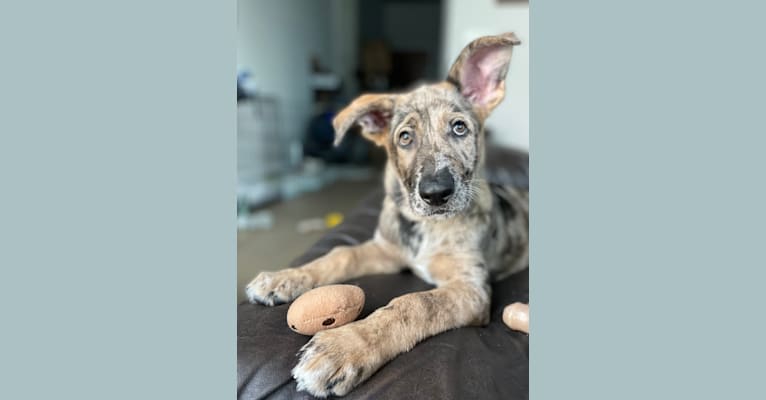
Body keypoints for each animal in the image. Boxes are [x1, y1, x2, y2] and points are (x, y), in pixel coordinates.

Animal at [246, 32, 528, 396]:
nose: (436, 194)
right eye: (405, 137)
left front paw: (343, 348)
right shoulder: (385, 250)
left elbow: (415, 303)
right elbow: (340, 254)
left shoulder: (472, 288)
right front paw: (283, 278)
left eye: (459, 129)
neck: (426, 226)